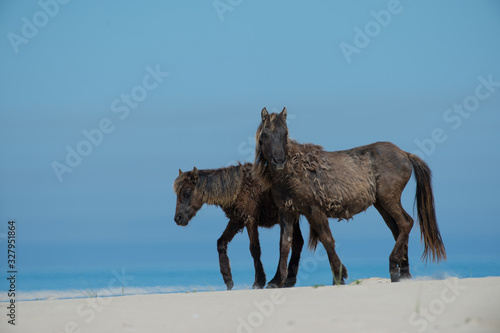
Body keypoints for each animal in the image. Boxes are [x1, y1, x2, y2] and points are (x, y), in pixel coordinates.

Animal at [174, 163, 302, 288]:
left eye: (187, 191)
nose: (178, 219)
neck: (240, 188)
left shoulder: (250, 220)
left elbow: (255, 249)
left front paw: (259, 281)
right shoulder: (236, 221)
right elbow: (221, 243)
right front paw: (228, 278)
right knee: (297, 243)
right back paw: (289, 280)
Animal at [254, 107, 446, 284]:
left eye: (285, 133)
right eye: (266, 134)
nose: (279, 161)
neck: (293, 171)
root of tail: (404, 153)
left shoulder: (315, 211)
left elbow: (327, 240)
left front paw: (339, 277)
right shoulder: (286, 211)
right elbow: (285, 244)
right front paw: (276, 281)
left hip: (389, 199)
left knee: (406, 223)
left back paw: (393, 267)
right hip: (381, 204)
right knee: (398, 228)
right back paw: (403, 274)